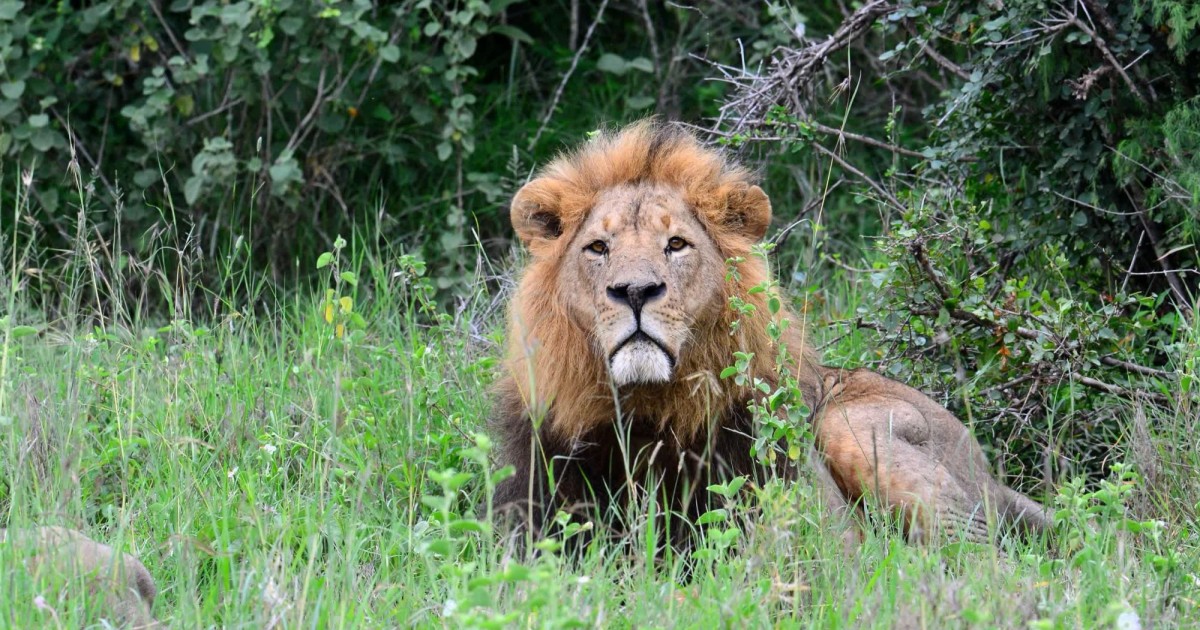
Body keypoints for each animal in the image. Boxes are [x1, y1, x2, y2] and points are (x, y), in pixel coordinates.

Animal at [490, 121, 1049, 549]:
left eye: (676, 244)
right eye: (598, 248)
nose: (635, 292)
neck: (648, 413)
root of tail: (992, 476)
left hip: (852, 425)